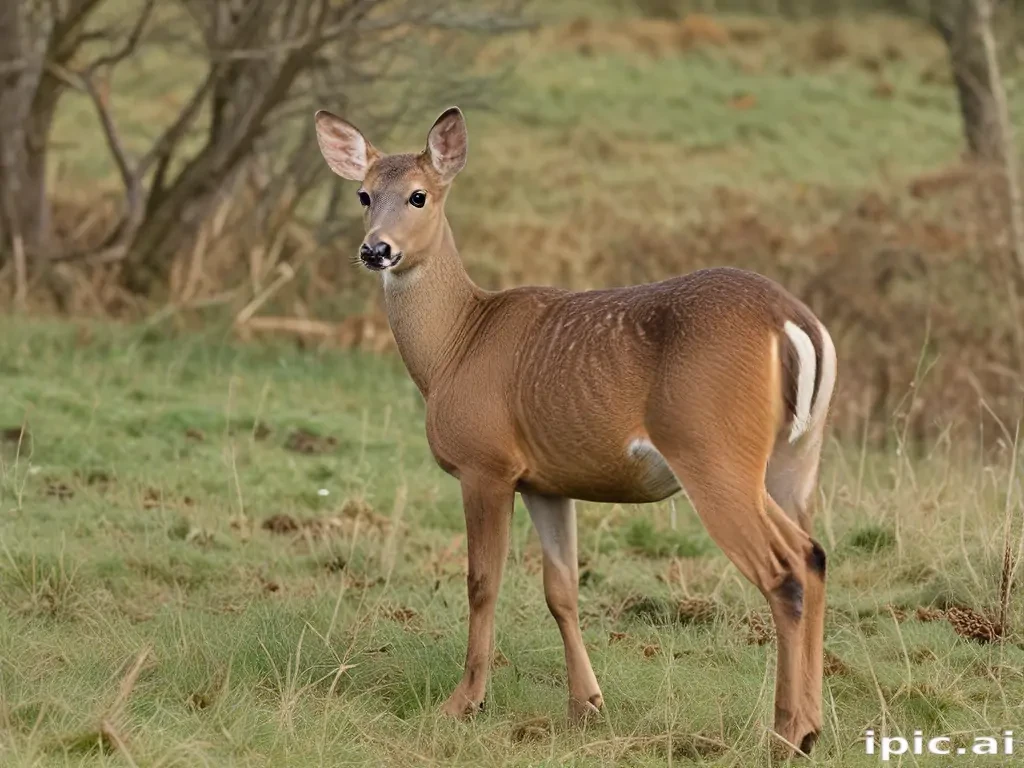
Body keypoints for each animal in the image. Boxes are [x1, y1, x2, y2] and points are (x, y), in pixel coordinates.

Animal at [313, 105, 838, 758]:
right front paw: (586, 705)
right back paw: (812, 726)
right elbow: (560, 589)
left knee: (785, 572)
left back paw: (787, 734)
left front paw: (463, 704)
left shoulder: (486, 465)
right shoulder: (547, 481)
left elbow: (482, 582)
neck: (456, 345)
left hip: (714, 453)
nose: (376, 249)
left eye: (418, 195)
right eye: (363, 194)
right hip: (796, 459)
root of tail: (794, 321)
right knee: (814, 556)